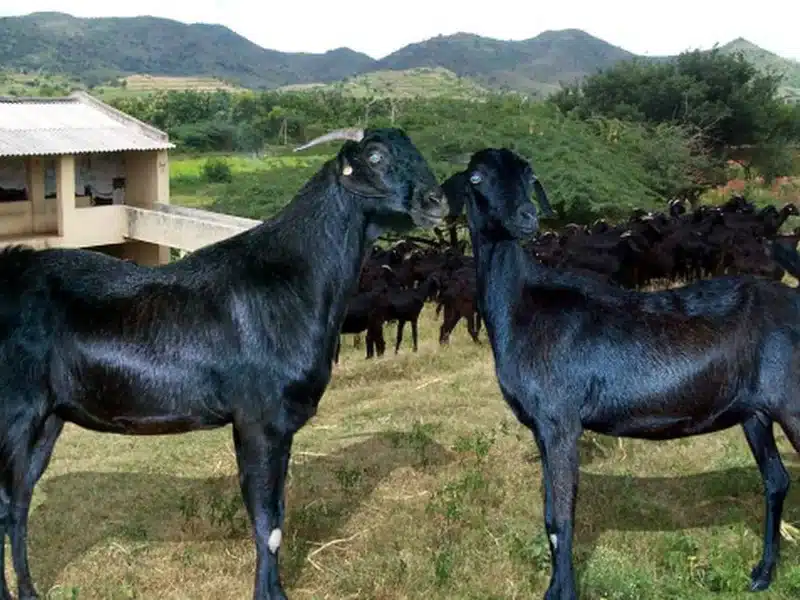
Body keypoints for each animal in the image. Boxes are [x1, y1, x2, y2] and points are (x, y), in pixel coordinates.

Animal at [0, 127, 447, 600]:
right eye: (376, 156)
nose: (436, 200)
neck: (292, 280)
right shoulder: (258, 419)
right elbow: (267, 523)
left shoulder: (280, 427)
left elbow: (278, 516)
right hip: (14, 411)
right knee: (7, 504)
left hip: (49, 416)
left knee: (19, 502)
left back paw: (29, 592)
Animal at [451, 147, 800, 599]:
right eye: (476, 178)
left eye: (529, 177)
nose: (526, 216)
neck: (524, 304)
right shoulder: (542, 427)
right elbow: (550, 515)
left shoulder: (559, 420)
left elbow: (560, 520)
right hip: (755, 411)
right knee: (776, 480)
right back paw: (762, 574)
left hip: (794, 402)